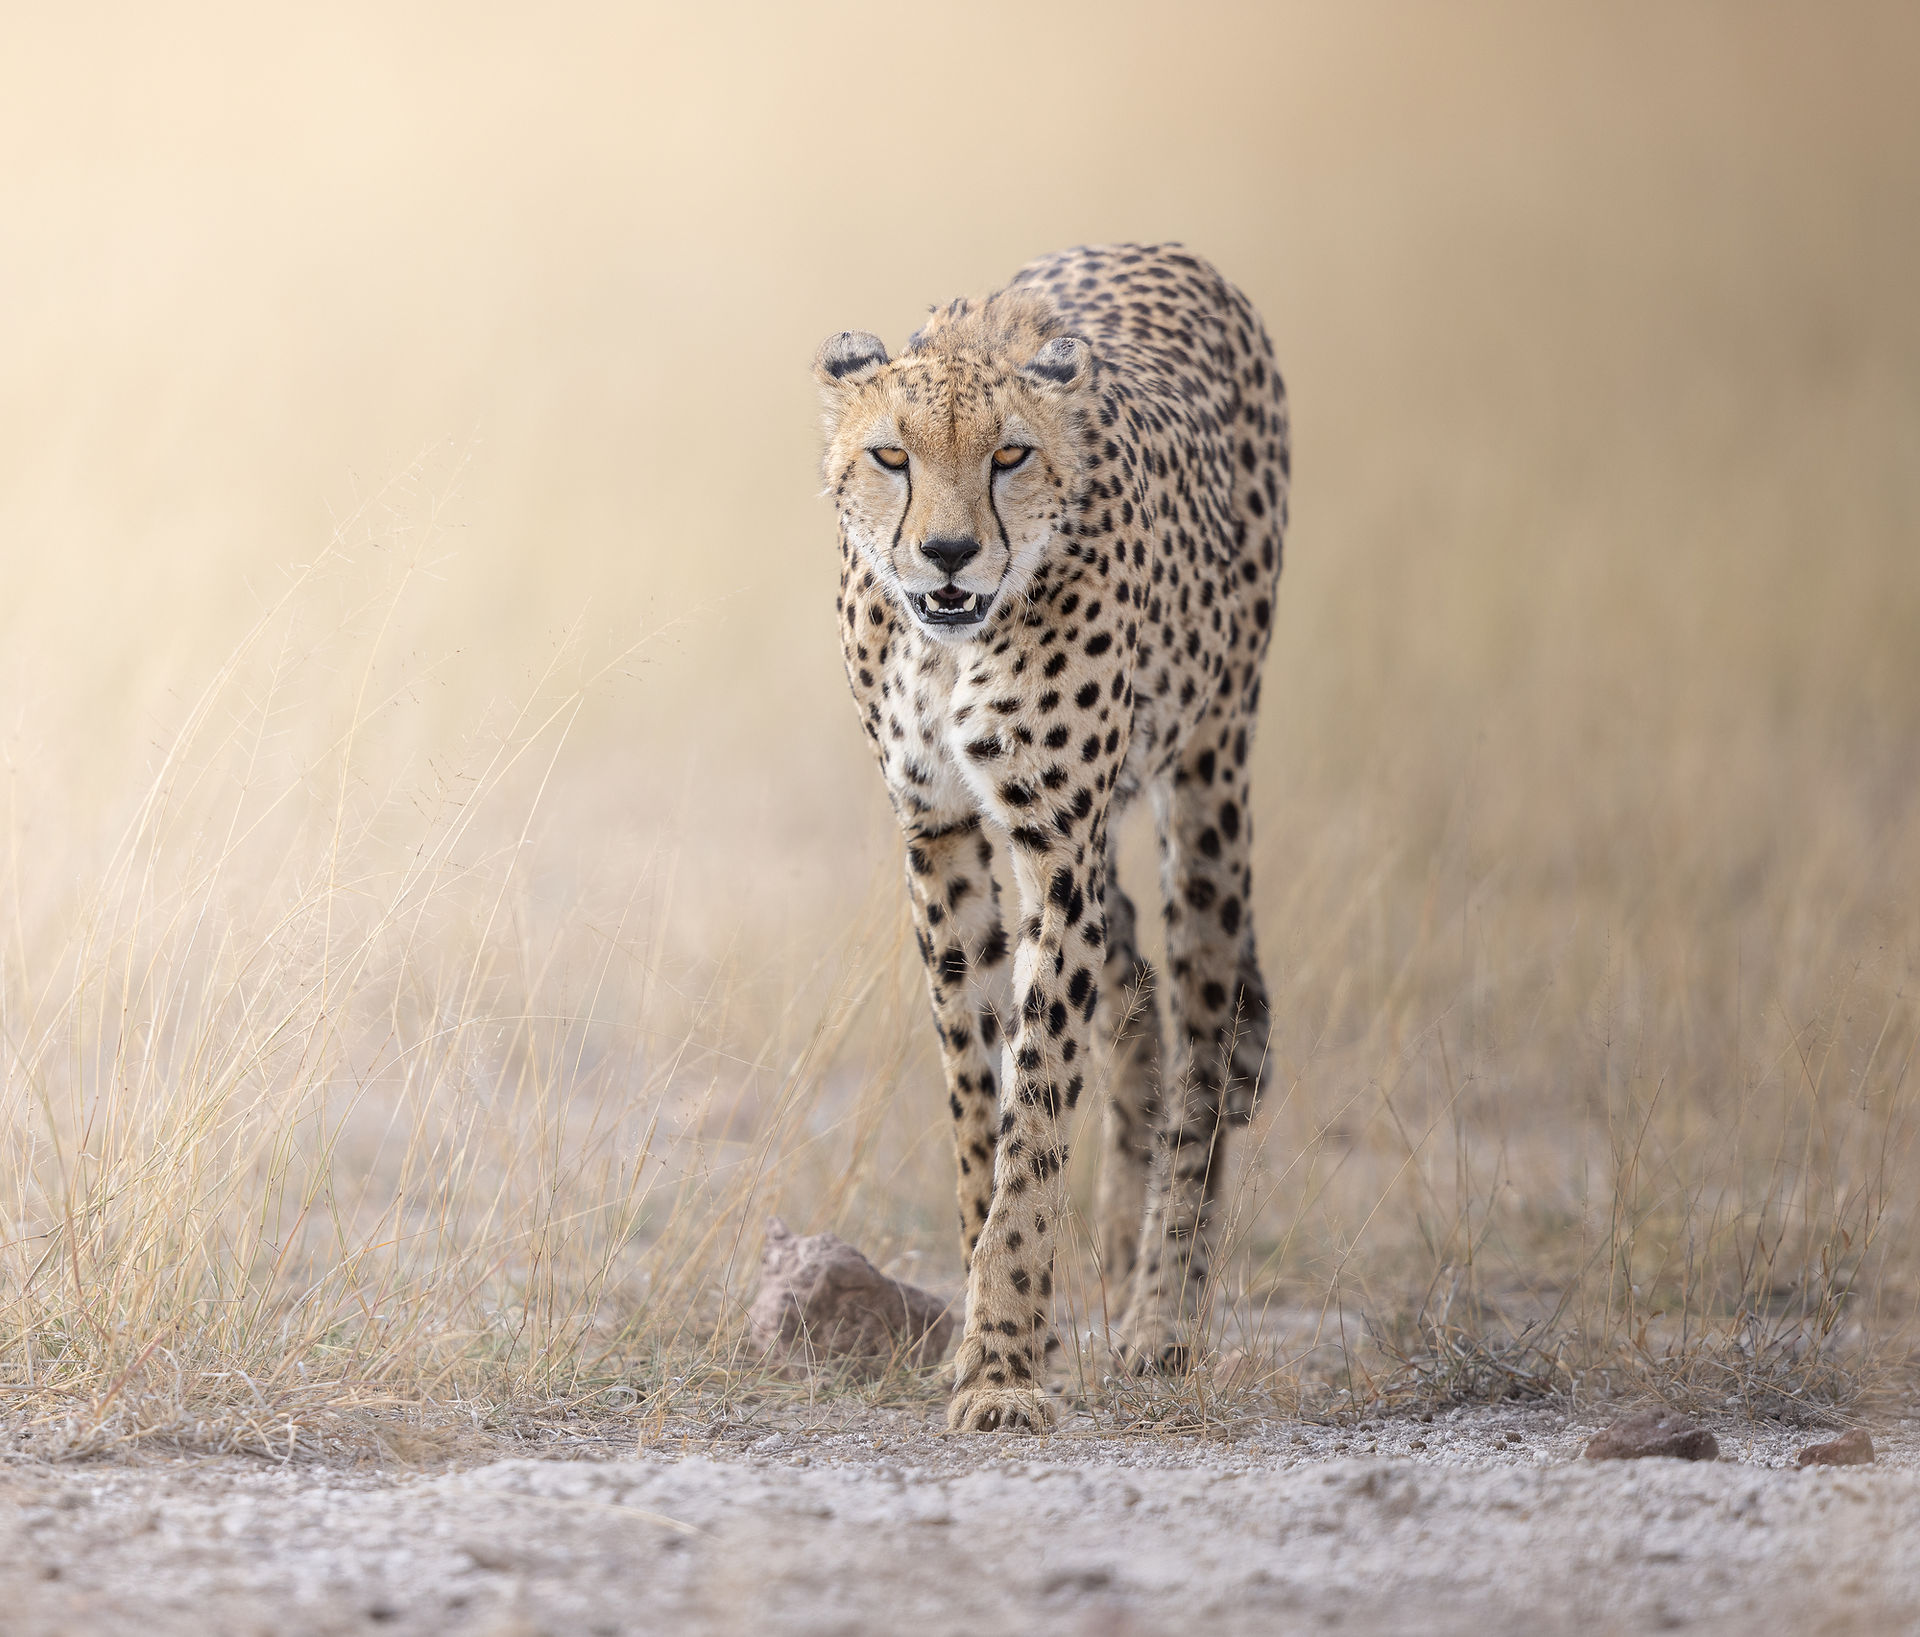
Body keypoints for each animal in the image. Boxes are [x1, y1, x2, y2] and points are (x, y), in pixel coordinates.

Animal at [813, 242, 1289, 1432]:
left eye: (1010, 455)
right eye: (891, 456)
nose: (947, 553)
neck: (949, 642)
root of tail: (1170, 248)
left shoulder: (1055, 838)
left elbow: (1036, 1112)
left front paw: (1003, 1366)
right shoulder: (940, 830)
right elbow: (979, 1096)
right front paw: (993, 1331)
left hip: (1208, 769)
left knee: (1206, 1028)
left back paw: (1162, 1311)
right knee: (1138, 993)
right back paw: (1118, 1257)